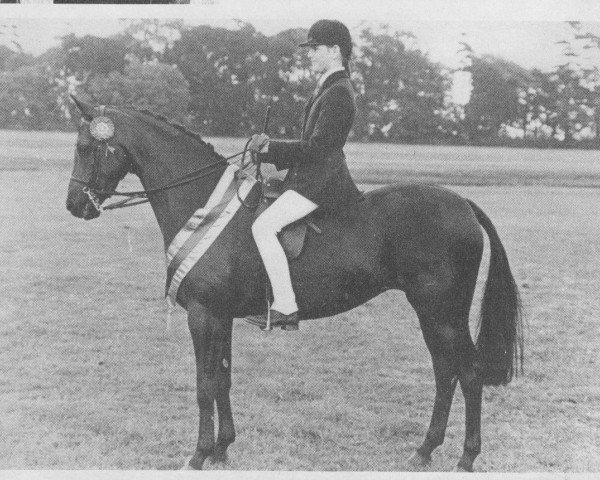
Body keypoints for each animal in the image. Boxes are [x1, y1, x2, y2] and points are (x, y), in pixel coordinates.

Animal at [65, 98, 524, 472]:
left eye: (85, 148)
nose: (74, 206)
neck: (202, 203)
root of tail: (462, 204)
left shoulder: (203, 315)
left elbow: (204, 384)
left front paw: (197, 455)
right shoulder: (221, 317)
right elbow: (223, 379)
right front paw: (223, 449)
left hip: (442, 313)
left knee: (468, 372)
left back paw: (466, 458)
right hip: (433, 314)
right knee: (445, 371)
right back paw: (424, 451)